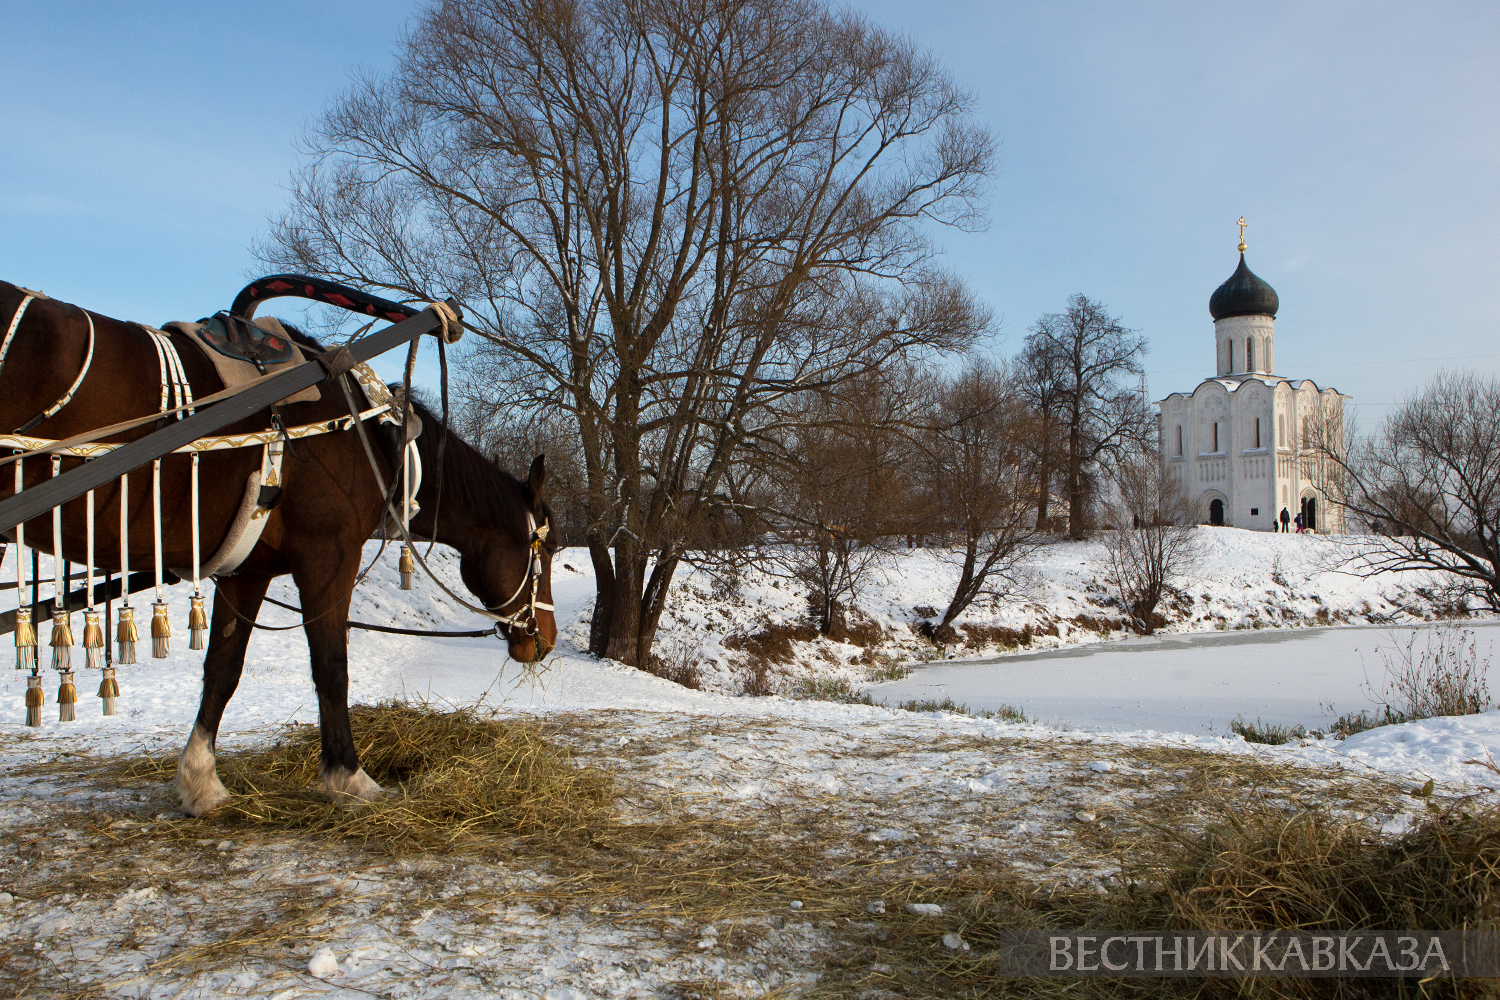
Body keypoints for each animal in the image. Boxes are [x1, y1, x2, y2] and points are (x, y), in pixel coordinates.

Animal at [0, 280, 558, 815]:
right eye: (546, 550)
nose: (545, 640)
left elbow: (223, 670)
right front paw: (349, 778)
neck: (375, 437)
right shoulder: (329, 555)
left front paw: (200, 781)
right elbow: (331, 667)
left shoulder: (245, 572)